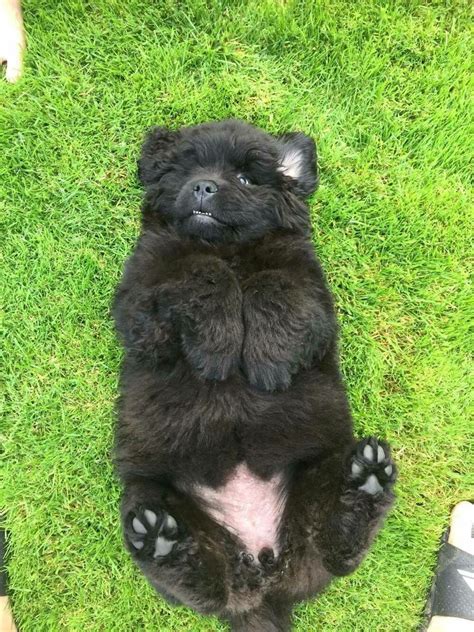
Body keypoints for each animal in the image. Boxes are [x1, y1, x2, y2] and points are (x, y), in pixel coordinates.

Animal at [112, 119, 396, 632]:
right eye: (187, 168)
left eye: (246, 179)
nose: (203, 186)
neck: (229, 247)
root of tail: (266, 576)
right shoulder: (141, 311)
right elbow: (201, 271)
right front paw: (217, 348)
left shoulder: (314, 302)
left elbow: (272, 283)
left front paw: (267, 363)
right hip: (148, 493)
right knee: (209, 589)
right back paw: (161, 539)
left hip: (317, 474)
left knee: (336, 552)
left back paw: (366, 484)